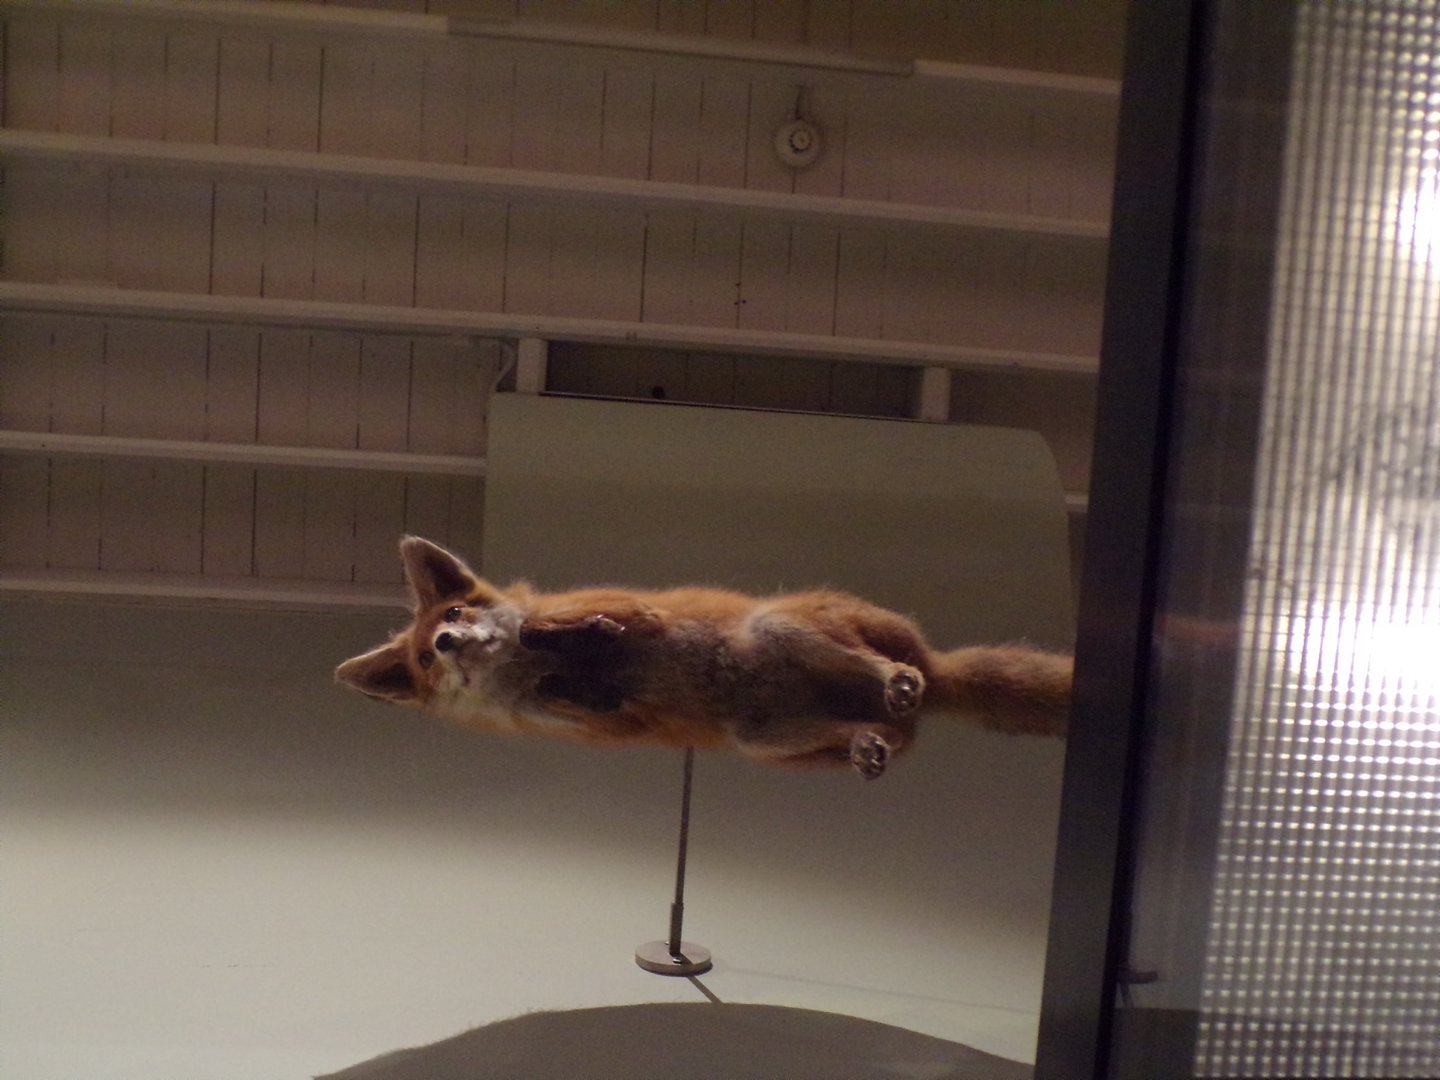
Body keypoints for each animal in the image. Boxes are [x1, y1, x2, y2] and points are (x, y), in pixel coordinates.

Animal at [335, 536, 1073, 778]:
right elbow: (579, 698)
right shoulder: (606, 724)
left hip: (782, 628)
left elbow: (556, 623)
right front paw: (573, 678)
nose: (445, 644)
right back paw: (870, 744)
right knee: (876, 734)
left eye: (453, 617)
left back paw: (896, 678)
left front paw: (568, 636)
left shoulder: (636, 610)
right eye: (425, 660)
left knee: (897, 671)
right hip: (760, 738)